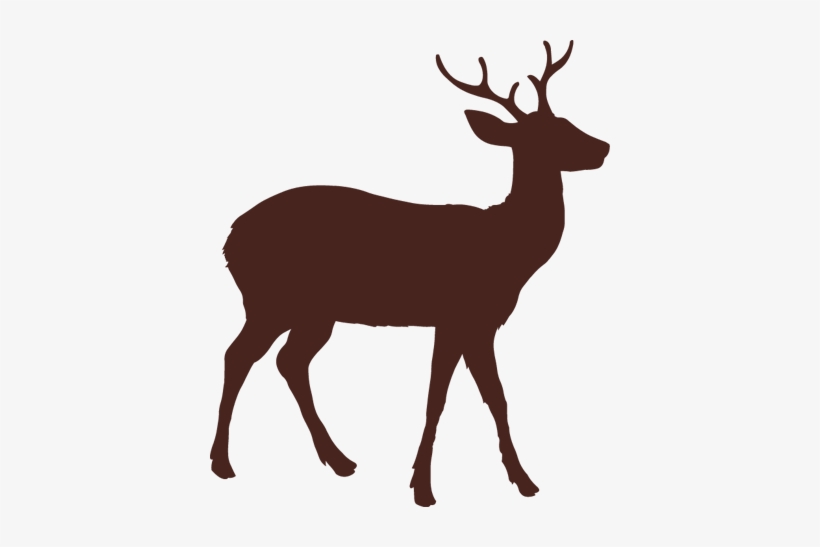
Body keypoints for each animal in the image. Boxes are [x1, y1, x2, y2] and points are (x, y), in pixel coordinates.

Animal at [210, 40, 609, 506]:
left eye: (565, 120)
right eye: (543, 135)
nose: (603, 147)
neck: (506, 249)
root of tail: (229, 240)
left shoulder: (472, 322)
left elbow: (491, 398)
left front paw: (520, 480)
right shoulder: (460, 315)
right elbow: (445, 397)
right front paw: (425, 488)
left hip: (314, 313)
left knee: (289, 361)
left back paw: (340, 460)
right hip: (271, 301)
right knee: (238, 355)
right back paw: (222, 463)